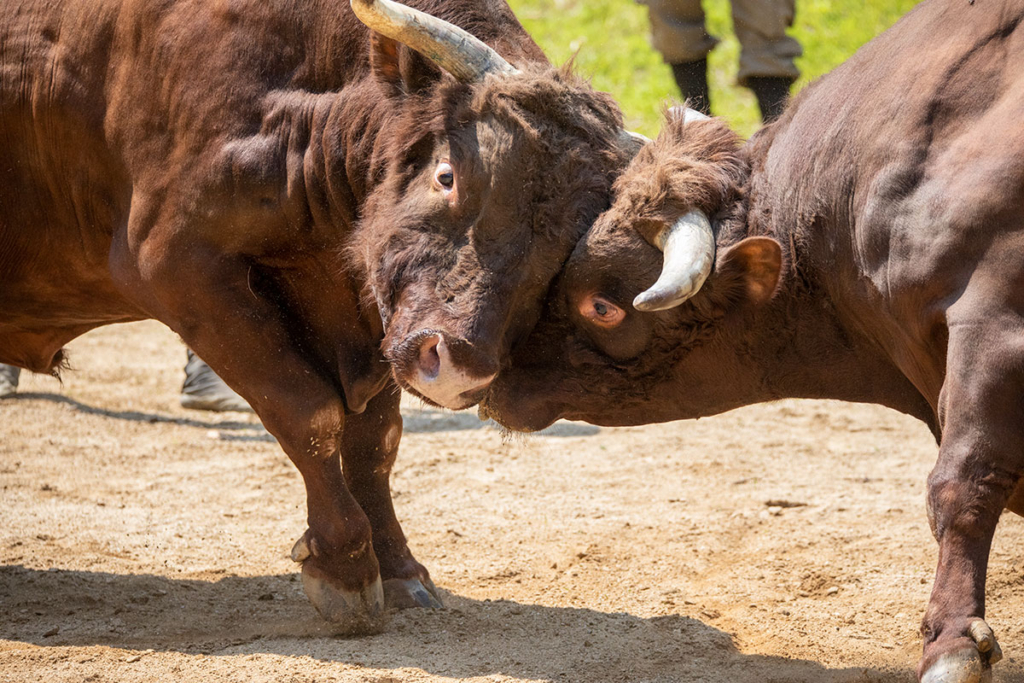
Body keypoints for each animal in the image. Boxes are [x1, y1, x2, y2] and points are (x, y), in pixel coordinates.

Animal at [0, 0, 634, 630]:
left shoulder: (370, 313)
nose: (456, 368)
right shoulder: (176, 268)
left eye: (564, 249)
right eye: (447, 176)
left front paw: (401, 570)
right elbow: (309, 414)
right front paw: (345, 565)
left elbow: (375, 440)